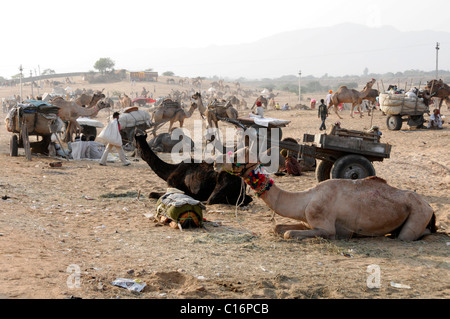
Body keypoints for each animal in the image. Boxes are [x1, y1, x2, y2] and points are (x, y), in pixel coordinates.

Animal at [214, 149, 436, 241]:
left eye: (237, 156)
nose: (216, 162)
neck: (306, 198)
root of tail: (429, 206)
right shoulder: (308, 220)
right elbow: (279, 227)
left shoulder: (327, 227)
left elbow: (288, 233)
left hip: (418, 214)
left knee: (408, 236)